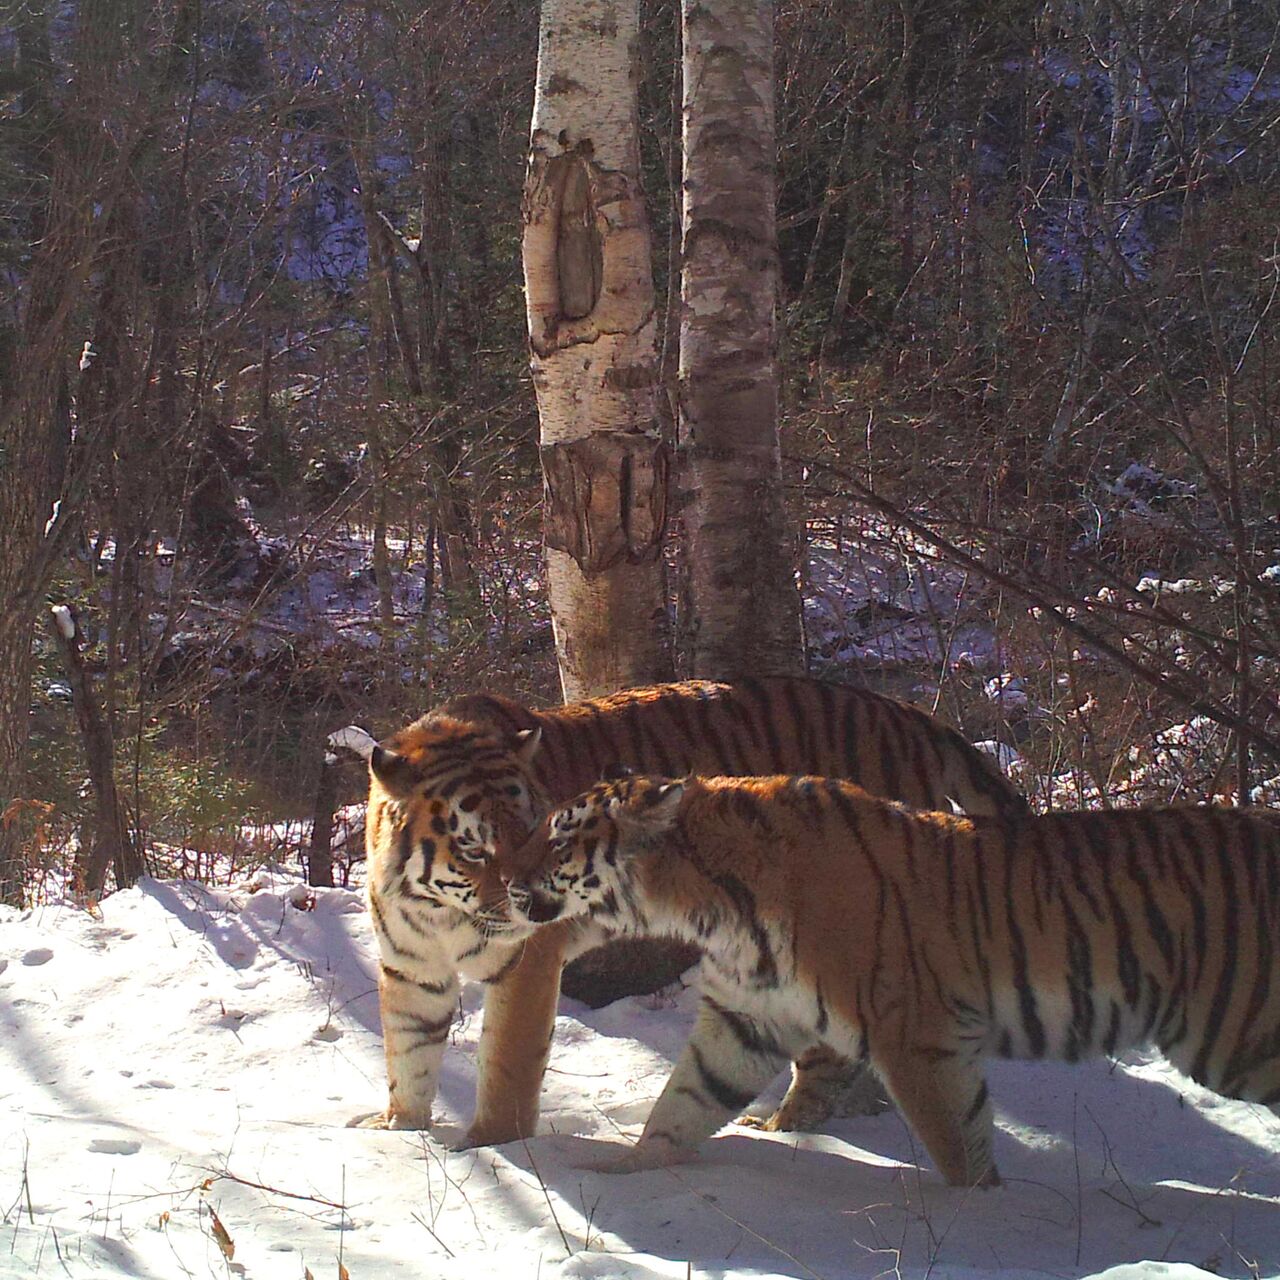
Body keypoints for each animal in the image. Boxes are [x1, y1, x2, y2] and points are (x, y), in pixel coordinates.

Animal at [332, 680, 1029, 1152]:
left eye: (536, 832)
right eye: (475, 847)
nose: (524, 902)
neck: (435, 910)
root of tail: (910, 714)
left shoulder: (526, 965)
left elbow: (504, 1061)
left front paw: (489, 1146)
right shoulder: (410, 967)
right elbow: (409, 1055)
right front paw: (400, 1134)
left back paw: (781, 1128)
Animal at [499, 768, 1280, 1187]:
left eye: (561, 837)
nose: (504, 880)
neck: (709, 908)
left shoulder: (918, 1040)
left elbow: (957, 1146)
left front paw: (986, 1213)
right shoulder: (743, 1021)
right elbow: (680, 1107)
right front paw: (618, 1178)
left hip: (1237, 1037)